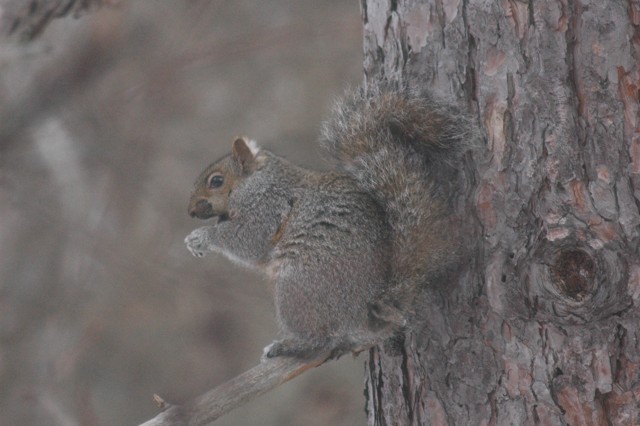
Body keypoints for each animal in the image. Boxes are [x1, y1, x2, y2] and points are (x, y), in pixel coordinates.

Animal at [185, 81, 476, 360]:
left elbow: (247, 240)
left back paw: (290, 346)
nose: (189, 212)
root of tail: (365, 313)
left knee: (321, 339)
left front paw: (200, 238)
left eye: (216, 181)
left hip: (296, 289)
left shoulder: (267, 207)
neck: (256, 181)